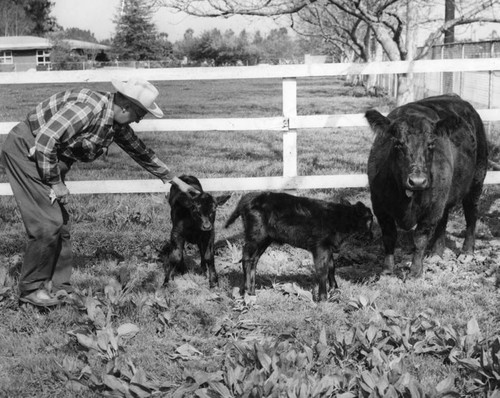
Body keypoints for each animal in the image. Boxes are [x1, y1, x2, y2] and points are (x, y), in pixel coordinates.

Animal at [366, 95, 486, 278]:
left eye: (431, 144)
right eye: (398, 144)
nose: (417, 181)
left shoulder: (431, 210)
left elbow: (420, 239)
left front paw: (415, 272)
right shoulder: (379, 206)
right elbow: (389, 236)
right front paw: (387, 270)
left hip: (476, 181)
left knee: (471, 214)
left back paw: (467, 252)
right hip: (444, 194)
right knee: (443, 220)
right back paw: (436, 253)